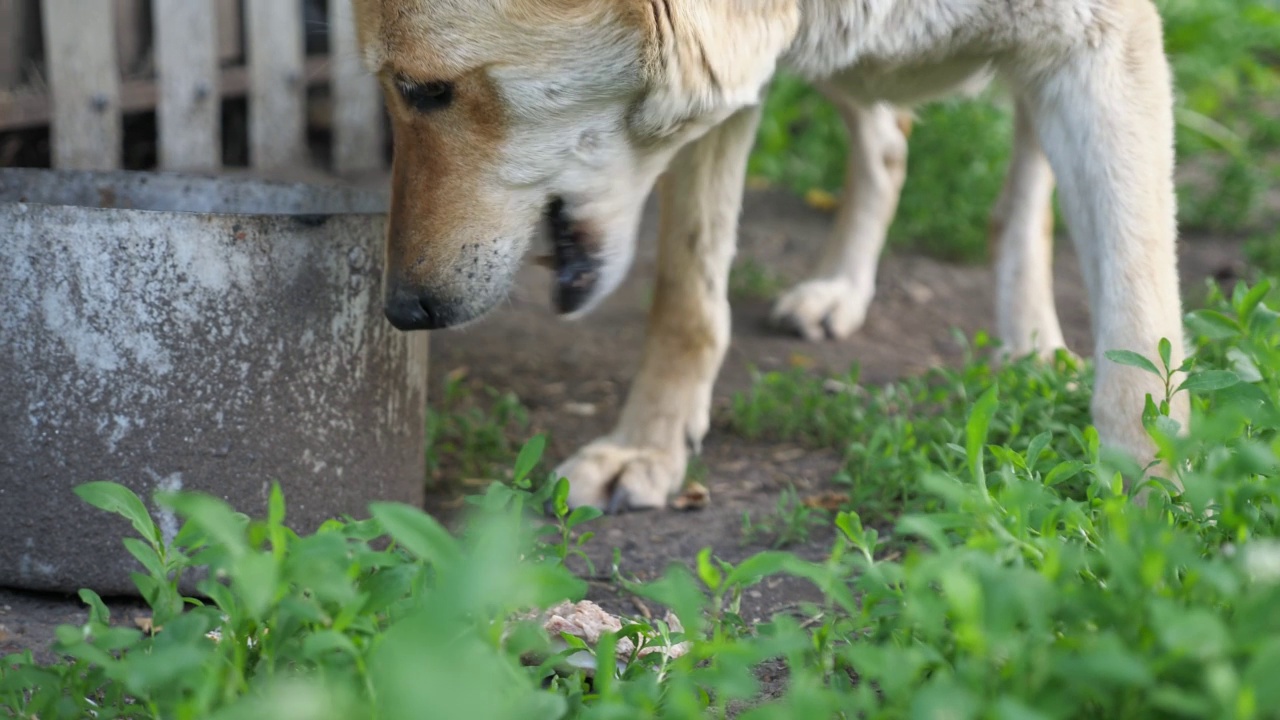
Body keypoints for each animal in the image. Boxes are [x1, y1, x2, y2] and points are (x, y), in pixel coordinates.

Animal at [353, 0, 1187, 509]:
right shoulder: (730, 83)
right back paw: (840, 288)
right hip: (830, 59)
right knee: (889, 143)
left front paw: (1151, 510)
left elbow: (1140, 335)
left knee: (1016, 190)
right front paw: (647, 447)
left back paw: (1032, 345)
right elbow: (687, 301)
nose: (402, 310)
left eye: (423, 89)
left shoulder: (1103, 48)